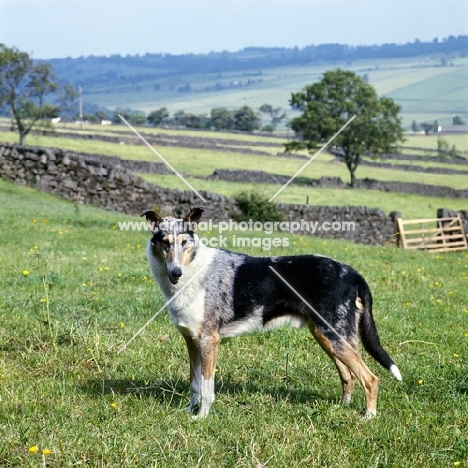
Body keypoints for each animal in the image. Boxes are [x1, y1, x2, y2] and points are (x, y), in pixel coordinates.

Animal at [141, 207, 400, 418]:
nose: (176, 273)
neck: (194, 270)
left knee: (370, 378)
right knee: (348, 376)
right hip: (326, 336)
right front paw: (189, 410)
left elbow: (206, 386)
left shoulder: (208, 341)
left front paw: (202, 417)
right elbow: (194, 383)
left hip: (335, 337)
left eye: (185, 242)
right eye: (165, 242)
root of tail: (353, 274)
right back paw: (342, 407)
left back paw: (368, 416)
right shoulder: (192, 341)